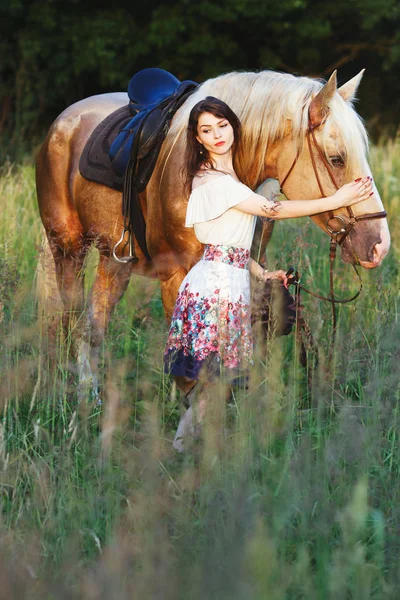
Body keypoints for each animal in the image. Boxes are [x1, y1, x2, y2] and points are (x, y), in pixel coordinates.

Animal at [36, 68, 390, 396]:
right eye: (337, 158)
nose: (380, 246)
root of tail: (64, 120)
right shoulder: (175, 275)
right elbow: (189, 368)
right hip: (68, 249)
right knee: (73, 318)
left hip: (115, 260)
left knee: (94, 324)